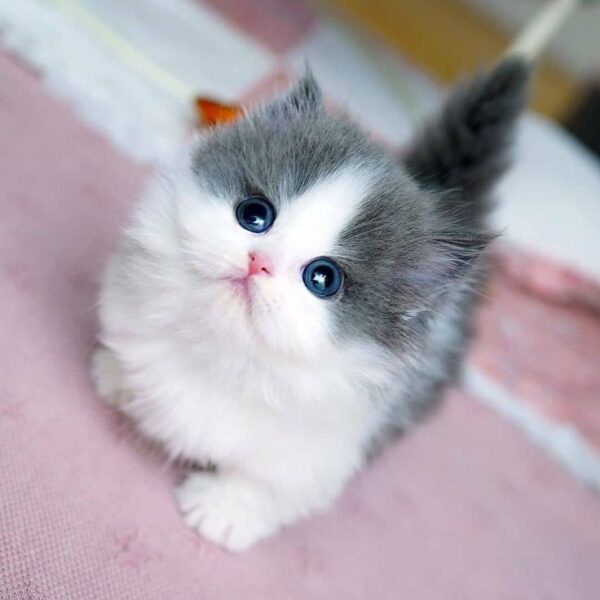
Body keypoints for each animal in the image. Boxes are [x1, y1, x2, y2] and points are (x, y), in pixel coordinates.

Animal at [90, 58, 528, 552]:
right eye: (254, 214)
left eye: (322, 279)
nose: (258, 262)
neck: (221, 354)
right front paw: (118, 377)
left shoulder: (318, 451)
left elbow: (266, 487)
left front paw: (221, 512)